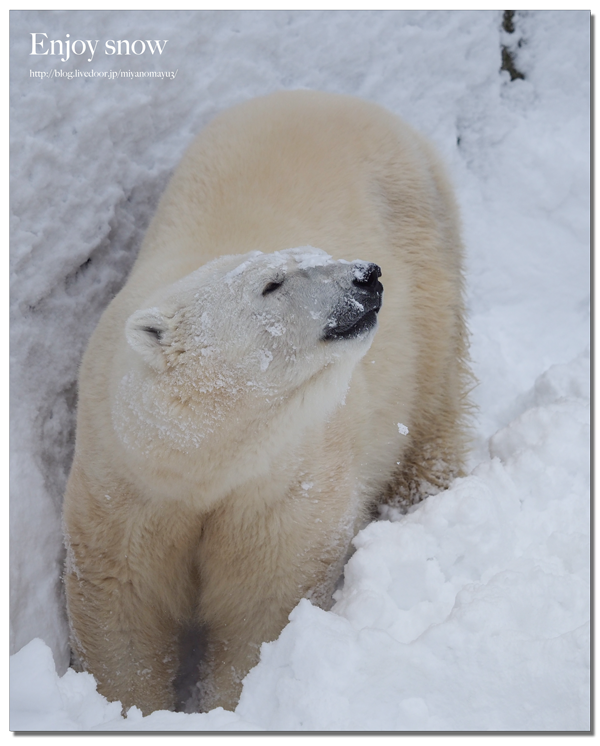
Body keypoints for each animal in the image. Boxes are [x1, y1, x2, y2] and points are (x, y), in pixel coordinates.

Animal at [63, 90, 472, 712]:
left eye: (317, 256)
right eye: (273, 283)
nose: (367, 275)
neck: (211, 469)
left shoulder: (285, 484)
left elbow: (263, 609)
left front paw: (236, 702)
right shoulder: (126, 485)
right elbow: (121, 605)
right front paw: (126, 707)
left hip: (430, 267)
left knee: (434, 408)